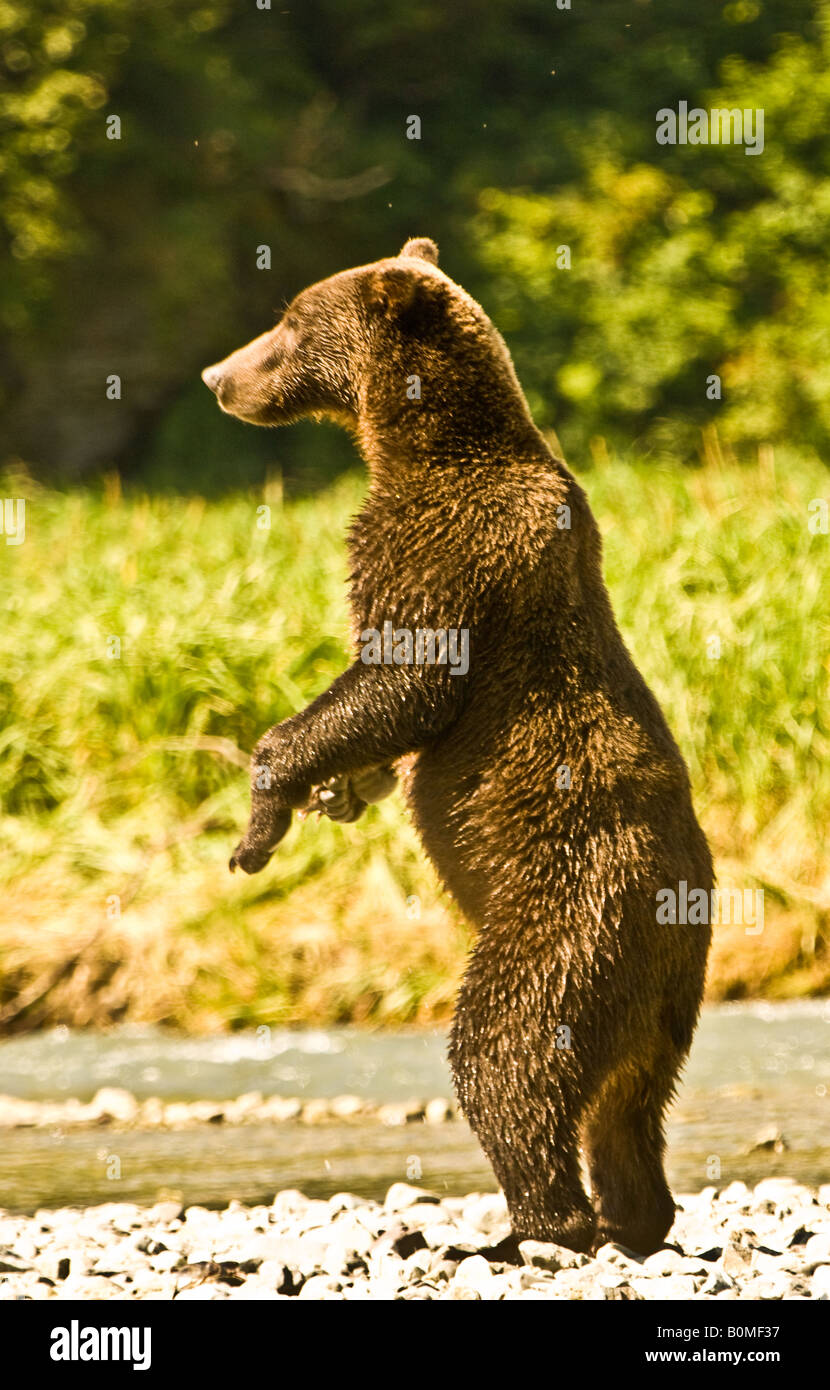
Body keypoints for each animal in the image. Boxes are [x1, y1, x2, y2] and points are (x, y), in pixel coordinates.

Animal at [202, 236, 711, 1262]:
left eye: (287, 321)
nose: (216, 377)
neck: (423, 444)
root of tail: (685, 912)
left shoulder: (443, 548)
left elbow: (404, 679)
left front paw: (260, 823)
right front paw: (340, 793)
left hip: (569, 915)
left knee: (508, 1051)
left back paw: (524, 1229)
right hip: (660, 996)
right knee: (628, 1107)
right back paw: (635, 1217)